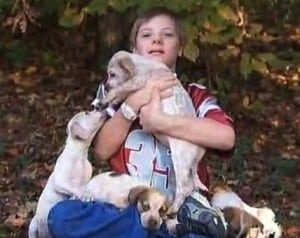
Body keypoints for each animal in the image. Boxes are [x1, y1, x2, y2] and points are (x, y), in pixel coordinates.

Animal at [95, 50, 207, 221]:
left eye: (112, 74)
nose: (105, 86)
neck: (142, 65)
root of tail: (199, 152)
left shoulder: (137, 82)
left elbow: (119, 89)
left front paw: (106, 99)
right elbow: (120, 95)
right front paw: (104, 103)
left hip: (180, 161)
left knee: (185, 188)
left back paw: (173, 209)